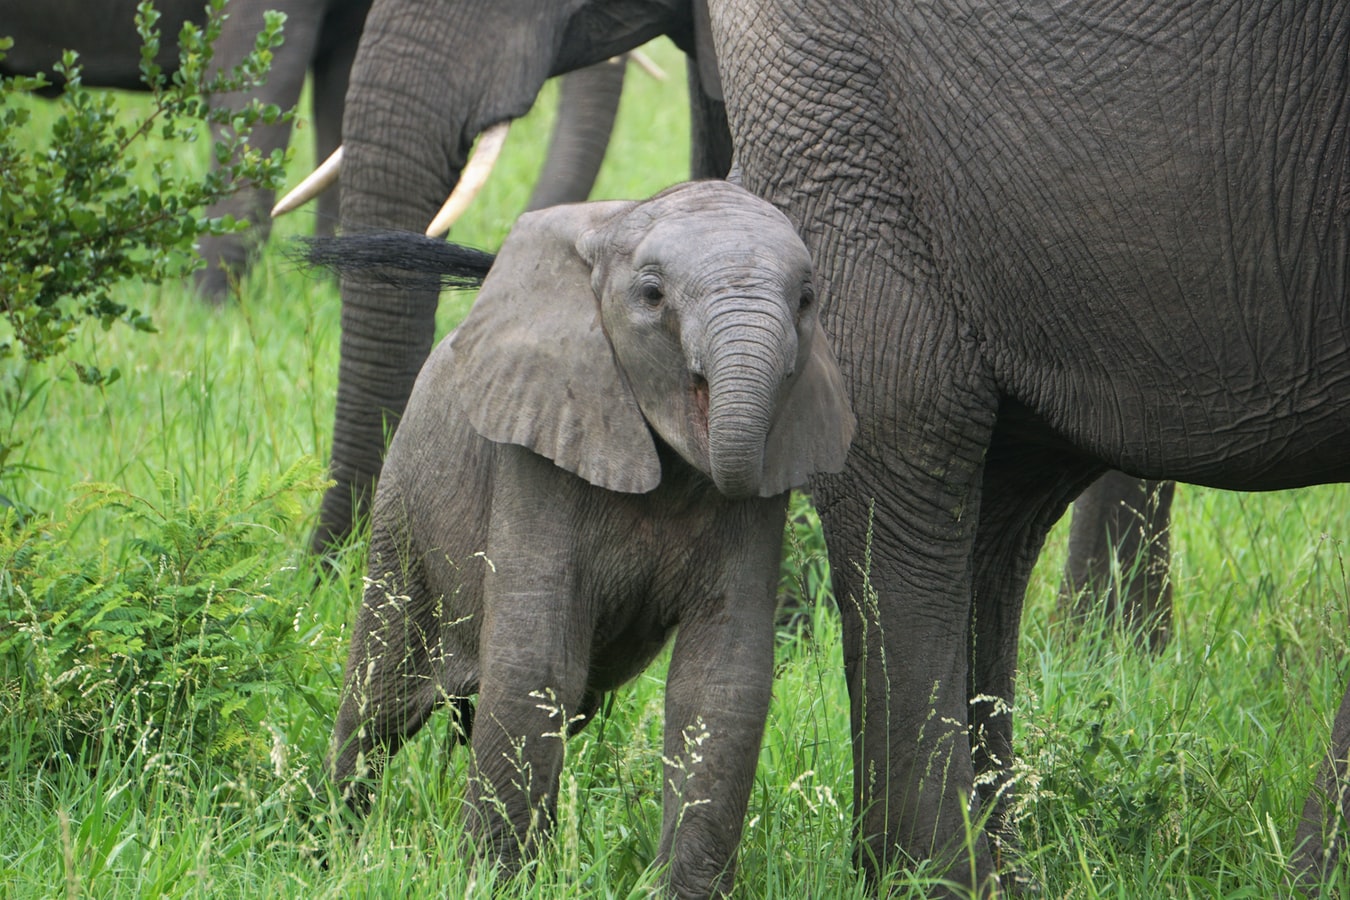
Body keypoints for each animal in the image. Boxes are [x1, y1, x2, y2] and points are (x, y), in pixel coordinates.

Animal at [325, 179, 847, 895]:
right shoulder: (537, 446)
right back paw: (330, 849)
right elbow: (536, 664)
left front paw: (680, 892)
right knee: (379, 698)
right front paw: (493, 885)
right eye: (651, 295)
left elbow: (721, 684)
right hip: (404, 506)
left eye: (806, 299)